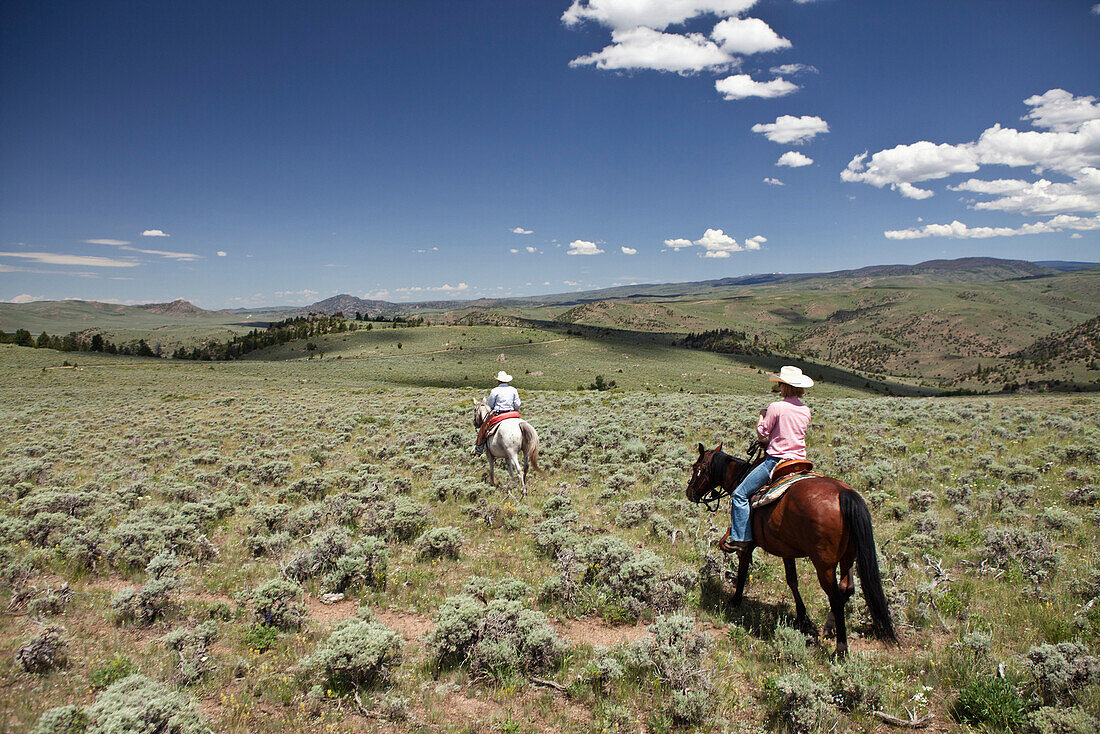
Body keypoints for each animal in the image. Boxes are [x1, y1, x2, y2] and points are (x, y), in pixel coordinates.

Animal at [686, 440, 893, 655]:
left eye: (695, 467)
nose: (689, 492)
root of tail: (844, 494)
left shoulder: (748, 545)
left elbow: (742, 571)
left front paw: (735, 600)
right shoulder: (786, 549)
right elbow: (792, 580)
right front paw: (803, 618)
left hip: (825, 565)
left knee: (835, 597)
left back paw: (841, 649)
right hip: (848, 557)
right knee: (847, 588)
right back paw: (828, 628)